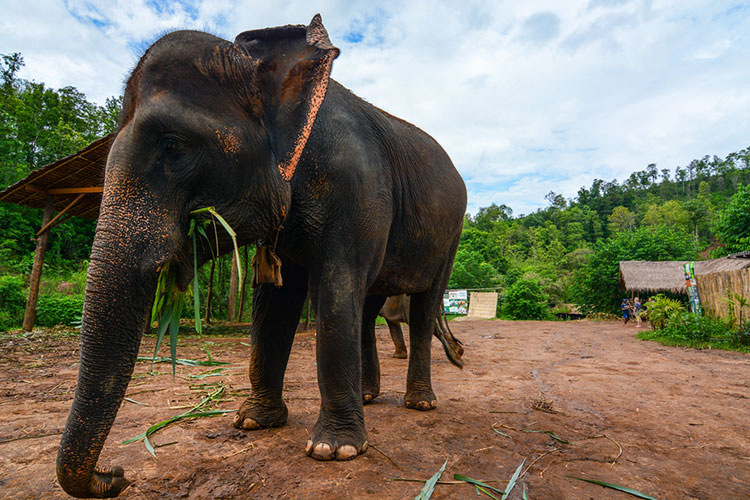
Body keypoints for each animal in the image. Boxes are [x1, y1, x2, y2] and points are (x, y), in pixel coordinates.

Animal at [56, 15, 466, 498]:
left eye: (172, 147)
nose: (117, 474)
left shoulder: (357, 189)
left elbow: (335, 293)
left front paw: (335, 450)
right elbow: (274, 305)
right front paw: (254, 422)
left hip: (451, 234)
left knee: (423, 306)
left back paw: (419, 403)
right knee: (368, 308)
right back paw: (370, 397)